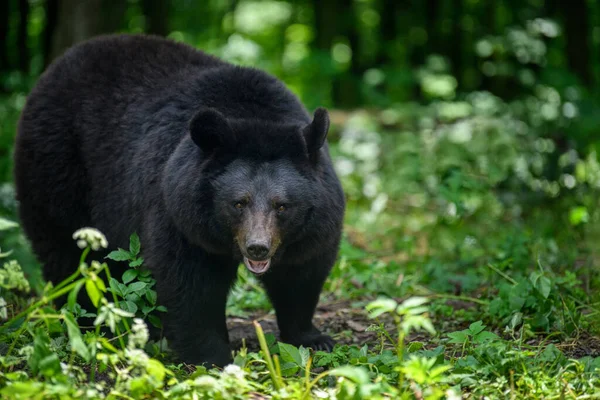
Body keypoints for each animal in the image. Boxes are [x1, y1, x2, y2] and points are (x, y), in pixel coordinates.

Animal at [14, 34, 344, 366]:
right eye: (238, 203)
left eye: (282, 206)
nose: (258, 248)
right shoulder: (177, 209)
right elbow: (189, 282)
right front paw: (213, 355)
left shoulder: (312, 226)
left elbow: (301, 274)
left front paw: (313, 338)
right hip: (56, 166)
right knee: (66, 249)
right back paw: (88, 319)